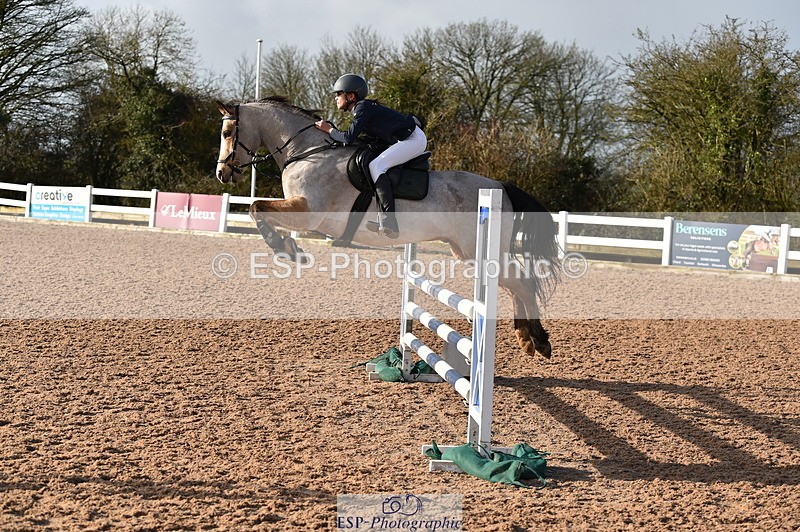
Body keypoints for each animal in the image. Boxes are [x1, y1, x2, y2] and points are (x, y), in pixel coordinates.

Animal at [214, 97, 560, 359]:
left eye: (228, 132)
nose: (222, 174)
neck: (307, 152)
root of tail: (500, 186)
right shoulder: (300, 210)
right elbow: (261, 211)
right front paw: (291, 248)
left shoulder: (308, 213)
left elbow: (256, 208)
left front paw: (284, 248)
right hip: (470, 252)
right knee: (513, 283)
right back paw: (526, 339)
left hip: (479, 250)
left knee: (522, 282)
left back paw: (540, 340)